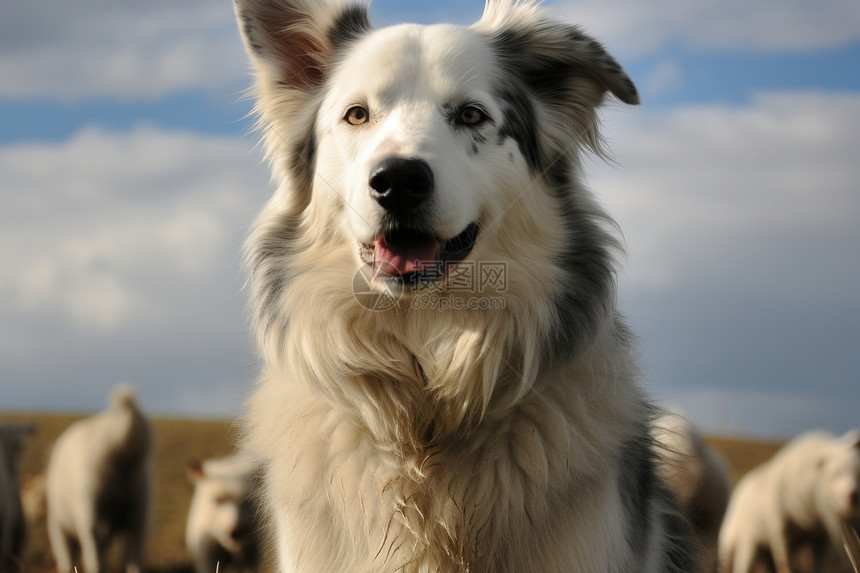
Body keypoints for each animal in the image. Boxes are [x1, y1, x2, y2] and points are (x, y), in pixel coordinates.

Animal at [720, 428, 860, 572]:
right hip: (743, 541)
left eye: (858, 473)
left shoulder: (821, 537)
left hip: (763, 548)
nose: (853, 496)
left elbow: (818, 565)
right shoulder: (780, 532)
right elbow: (785, 563)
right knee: (740, 565)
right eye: (835, 474)